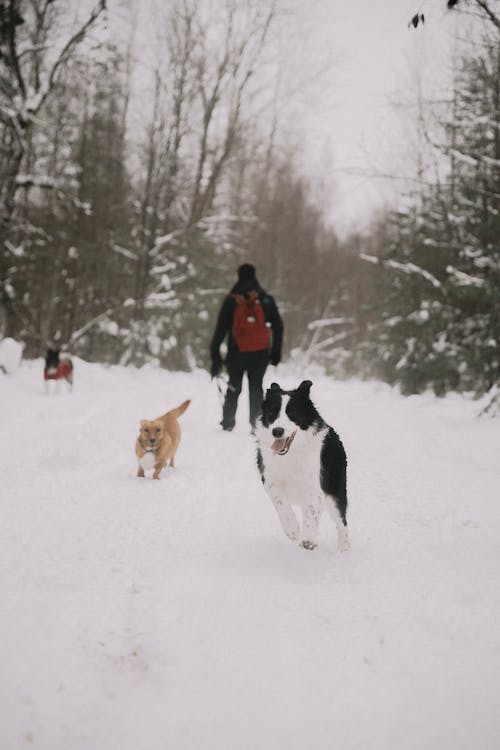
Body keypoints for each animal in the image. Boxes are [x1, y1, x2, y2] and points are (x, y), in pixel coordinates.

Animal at [256, 382, 350, 552]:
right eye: (272, 412)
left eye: (292, 413)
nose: (277, 431)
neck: (291, 453)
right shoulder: (270, 480)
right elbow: (281, 503)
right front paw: (292, 529)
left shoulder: (314, 486)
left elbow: (312, 510)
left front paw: (308, 540)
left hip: (335, 490)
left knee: (341, 521)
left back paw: (344, 548)